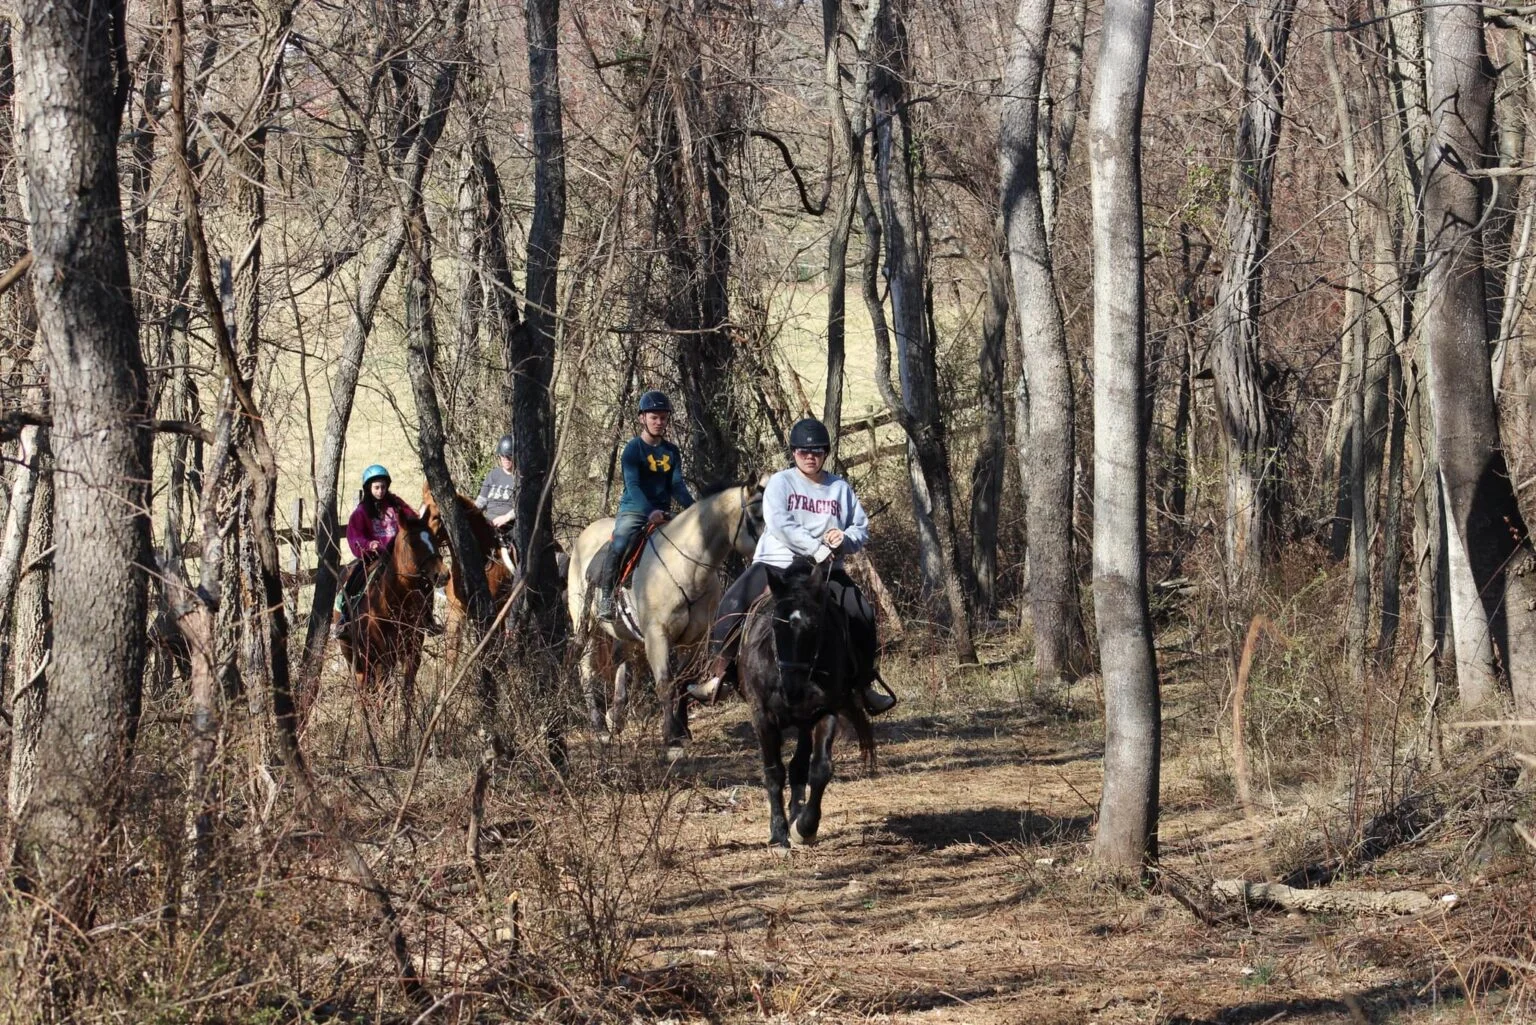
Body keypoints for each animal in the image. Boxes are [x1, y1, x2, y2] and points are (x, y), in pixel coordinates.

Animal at [336, 513, 445, 746]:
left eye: (433, 537)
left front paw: (405, 735)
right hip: (355, 657)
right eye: (413, 543)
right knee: (363, 692)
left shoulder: (412, 654)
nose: (443, 575)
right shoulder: (383, 658)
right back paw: (367, 728)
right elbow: (384, 695)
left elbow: (407, 693)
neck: (393, 601)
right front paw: (380, 737)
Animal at [568, 479, 764, 752]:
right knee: (587, 669)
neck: (685, 568)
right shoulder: (657, 636)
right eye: (757, 515)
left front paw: (682, 730)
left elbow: (682, 680)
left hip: (624, 632)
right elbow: (665, 683)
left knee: (621, 662)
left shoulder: (694, 640)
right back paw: (599, 727)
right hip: (589, 626)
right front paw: (670, 736)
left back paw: (615, 718)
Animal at [734, 556, 878, 848]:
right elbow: (773, 772)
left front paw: (805, 827)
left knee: (799, 765)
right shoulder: (762, 717)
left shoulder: (826, 710)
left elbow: (820, 769)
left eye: (815, 627)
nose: (793, 690)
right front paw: (778, 833)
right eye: (776, 625)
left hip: (804, 721)